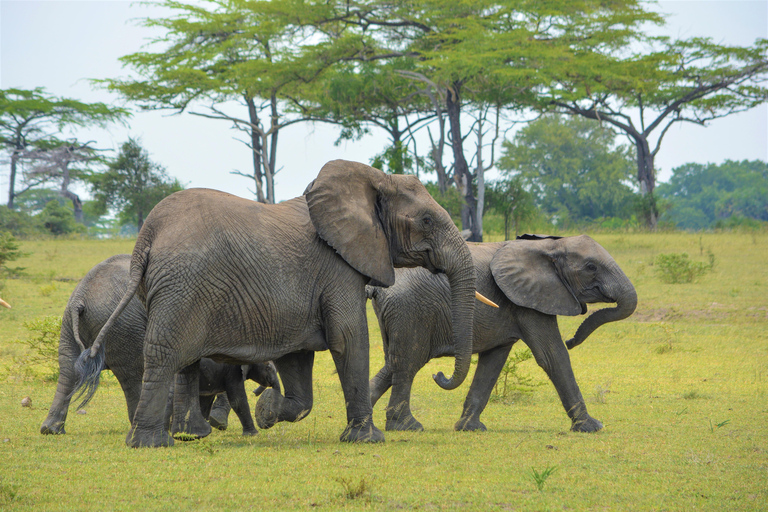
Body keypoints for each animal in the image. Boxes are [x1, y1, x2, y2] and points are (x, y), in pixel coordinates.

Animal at [39, 255, 280, 436]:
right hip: (125, 326)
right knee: (133, 374)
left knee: (68, 370)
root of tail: (81, 299)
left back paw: (51, 430)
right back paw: (140, 425)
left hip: (70, 325)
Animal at [73, 161, 480, 448]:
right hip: (182, 287)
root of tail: (148, 234)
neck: (372, 181)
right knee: (164, 355)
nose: (440, 375)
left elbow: (297, 360)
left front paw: (267, 410)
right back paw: (150, 444)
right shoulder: (337, 268)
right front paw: (368, 439)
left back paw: (172, 437)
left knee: (178, 362)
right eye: (426, 220)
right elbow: (349, 338)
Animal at [368, 236, 640, 432]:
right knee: (407, 364)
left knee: (393, 365)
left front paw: (470, 428)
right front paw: (592, 427)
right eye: (591, 267)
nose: (572, 339)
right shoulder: (528, 300)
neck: (549, 245)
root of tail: (379, 290)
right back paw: (406, 427)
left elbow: (493, 363)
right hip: (412, 312)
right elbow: (553, 356)